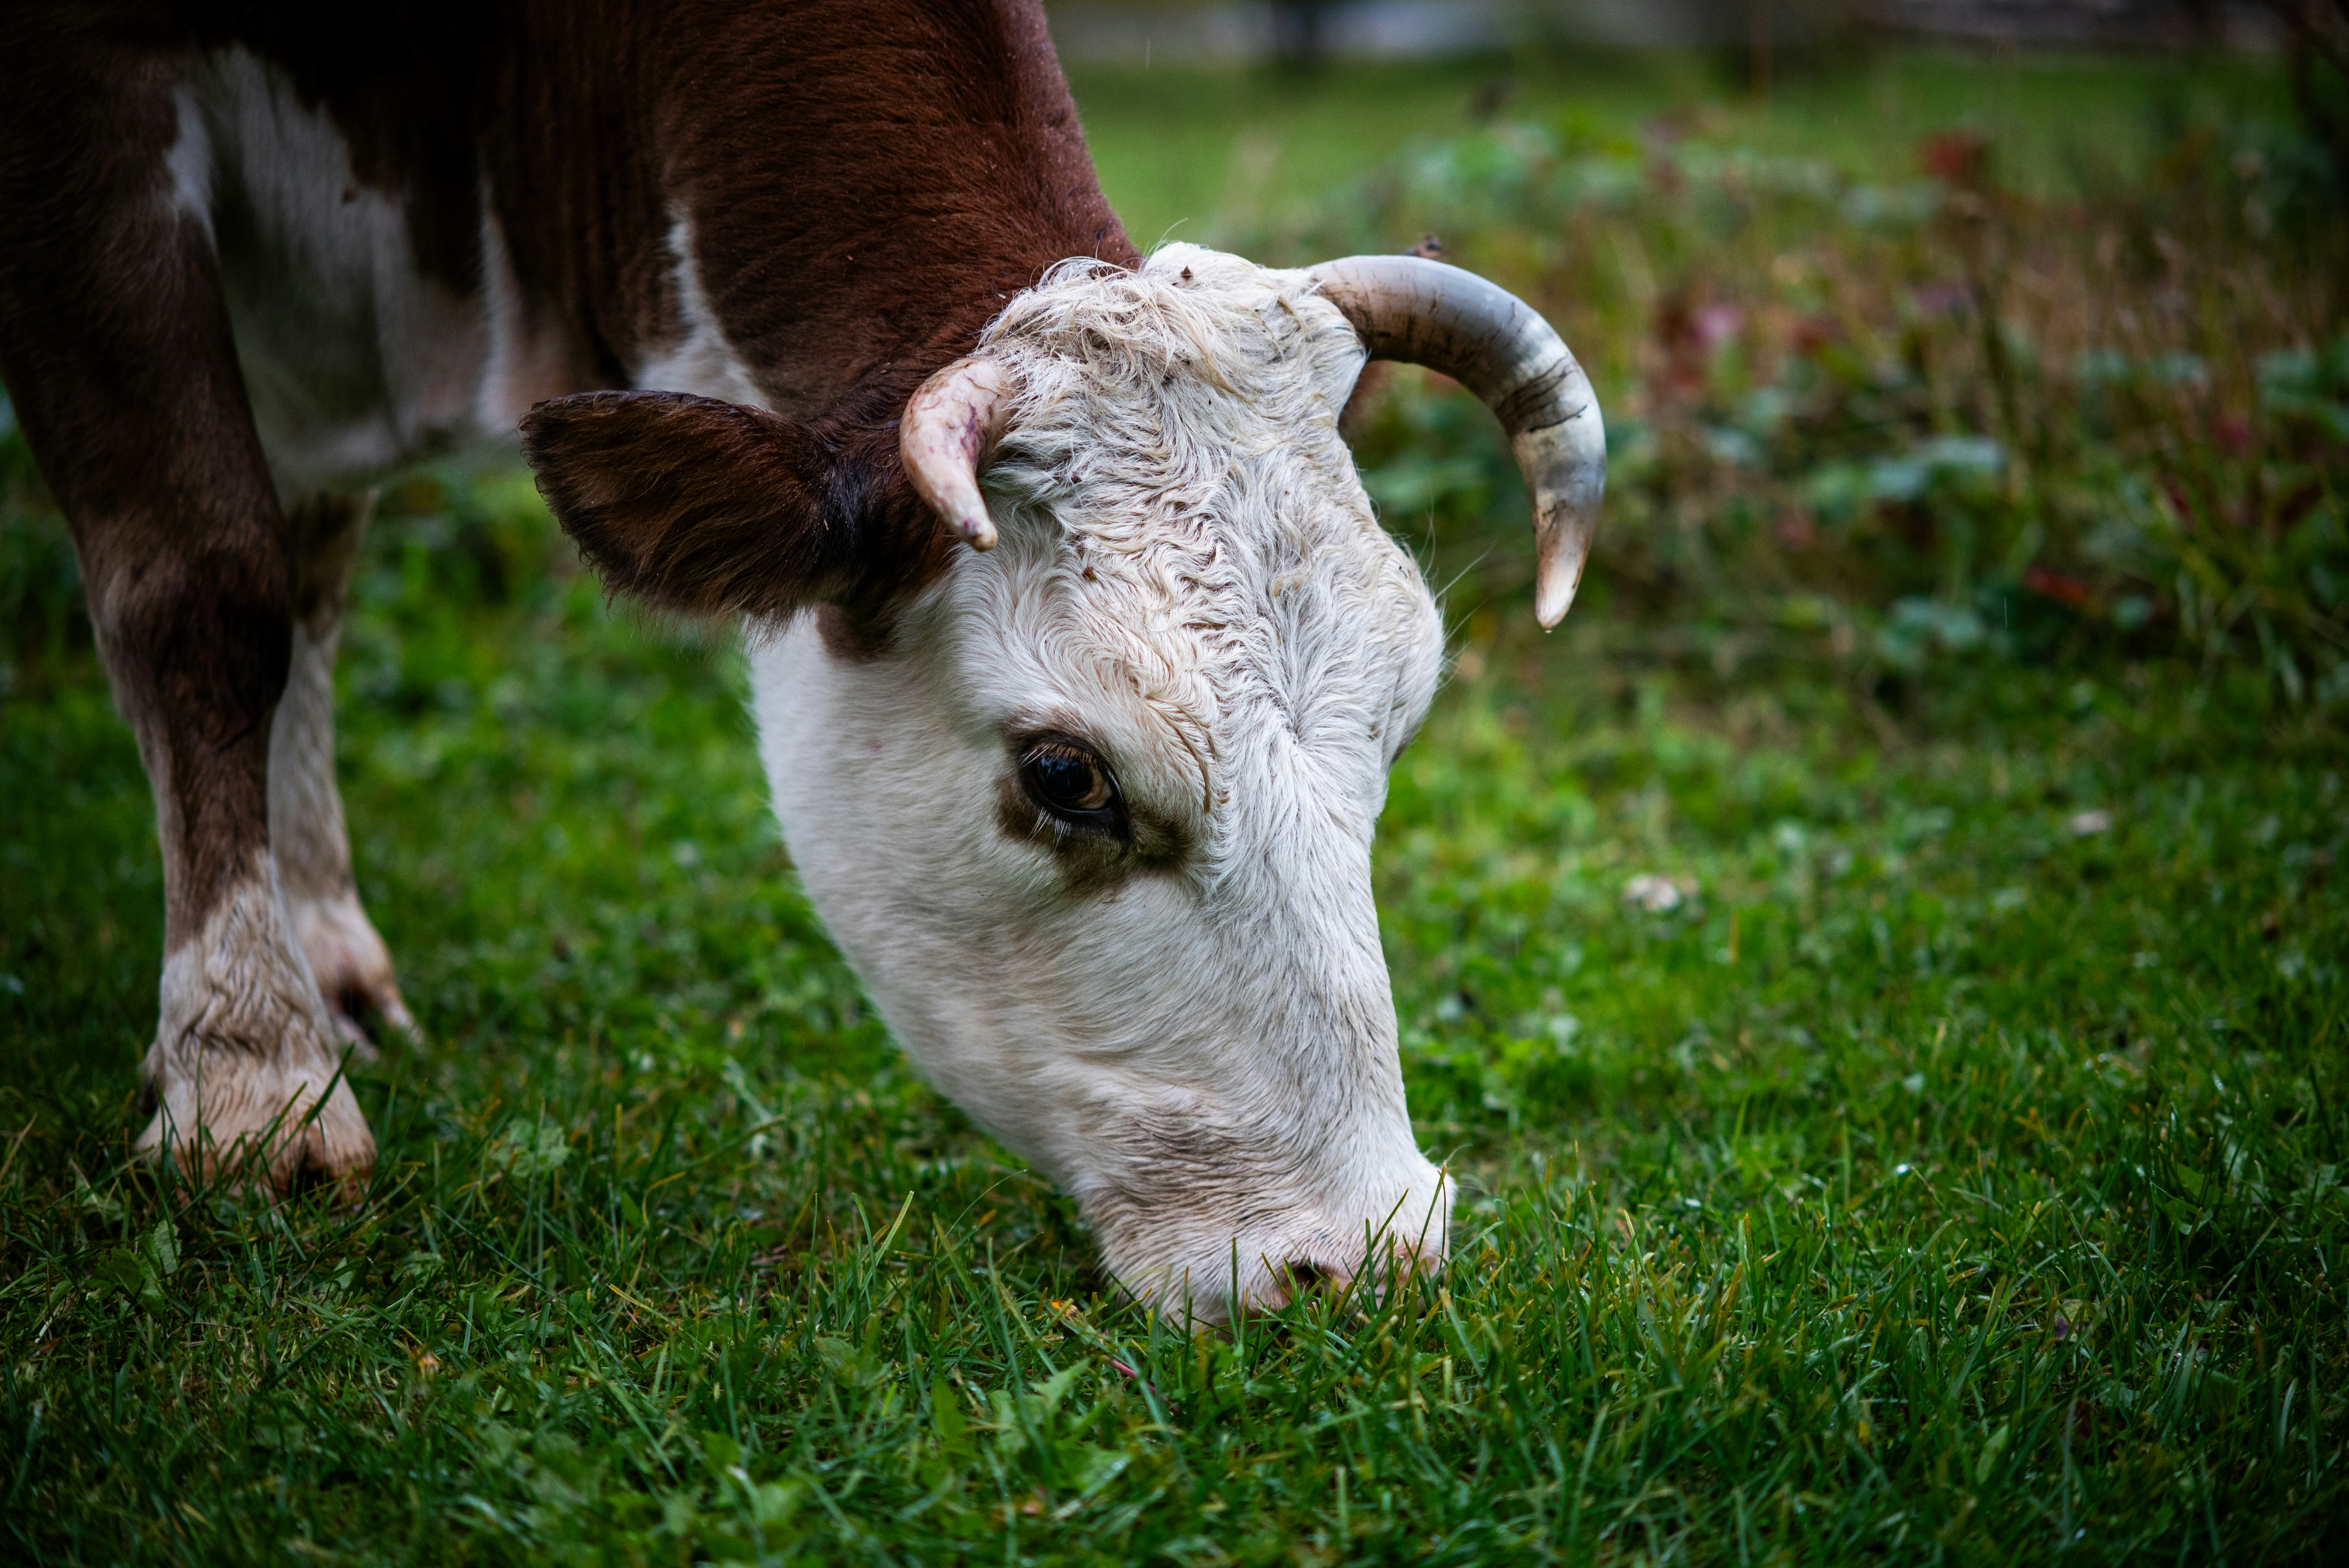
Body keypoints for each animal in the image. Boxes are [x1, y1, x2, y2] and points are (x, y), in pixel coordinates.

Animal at [0, 1, 1603, 1318]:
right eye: (1065, 774)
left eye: (1394, 722)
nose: (1366, 1255)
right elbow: (208, 586)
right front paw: (247, 1084)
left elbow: (306, 569)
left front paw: (306, 978)